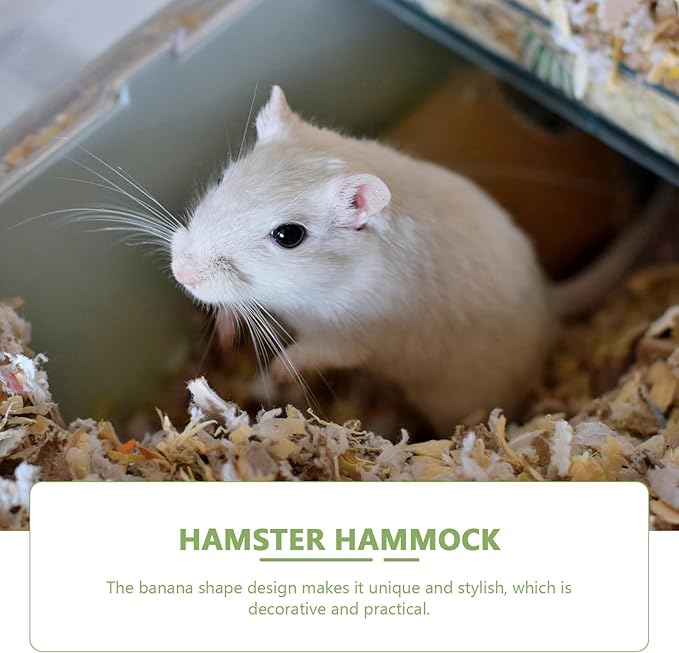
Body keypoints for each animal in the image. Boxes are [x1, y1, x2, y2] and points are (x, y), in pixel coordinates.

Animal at [171, 86, 671, 434]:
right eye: (224, 176)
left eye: (288, 236)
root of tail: (550, 300)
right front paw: (227, 333)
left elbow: (316, 349)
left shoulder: (354, 332)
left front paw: (277, 370)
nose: (182, 274)